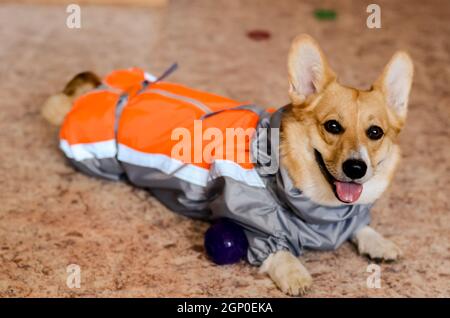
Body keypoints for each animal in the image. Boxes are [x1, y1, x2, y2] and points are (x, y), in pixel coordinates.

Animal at [43, 34, 414, 296]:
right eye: (333, 126)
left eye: (375, 132)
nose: (356, 168)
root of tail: (114, 88)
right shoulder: (249, 224)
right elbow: (276, 251)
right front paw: (295, 273)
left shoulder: (348, 213)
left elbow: (361, 225)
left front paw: (378, 241)